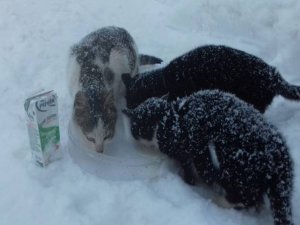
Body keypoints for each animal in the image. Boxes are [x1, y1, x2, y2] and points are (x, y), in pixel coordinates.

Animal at [123, 89, 294, 225]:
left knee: (243, 197)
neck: (168, 118)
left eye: (135, 127)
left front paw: (189, 183)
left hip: (234, 169)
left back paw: (217, 200)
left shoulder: (185, 153)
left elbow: (189, 173)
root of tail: (278, 154)